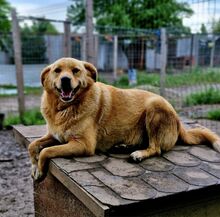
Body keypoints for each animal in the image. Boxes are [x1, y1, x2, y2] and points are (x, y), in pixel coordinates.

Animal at [28, 56, 220, 181]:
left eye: (76, 71)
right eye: (57, 71)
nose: (66, 80)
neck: (64, 108)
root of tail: (179, 122)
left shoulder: (83, 145)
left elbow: (46, 151)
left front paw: (39, 169)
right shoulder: (55, 135)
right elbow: (33, 146)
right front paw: (34, 167)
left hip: (154, 107)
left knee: (156, 148)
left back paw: (138, 154)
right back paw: (123, 146)